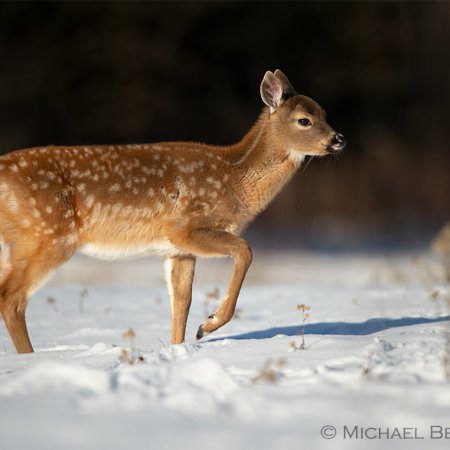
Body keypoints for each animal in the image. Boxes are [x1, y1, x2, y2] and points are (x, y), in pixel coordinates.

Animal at [0, 69, 346, 352]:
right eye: (304, 120)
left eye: (325, 113)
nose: (339, 138)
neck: (234, 179)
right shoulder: (184, 227)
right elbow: (245, 251)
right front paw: (208, 324)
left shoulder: (178, 250)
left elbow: (181, 302)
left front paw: (181, 347)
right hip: (46, 235)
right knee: (12, 299)